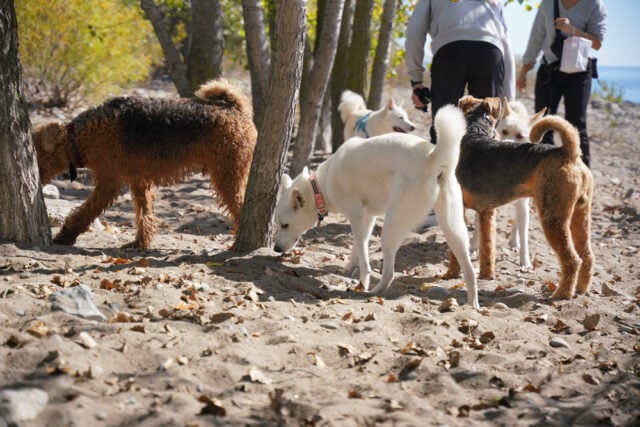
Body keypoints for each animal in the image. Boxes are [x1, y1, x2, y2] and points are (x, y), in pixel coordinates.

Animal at [33, 79, 258, 251]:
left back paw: (237, 245)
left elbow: (85, 211)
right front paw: (140, 243)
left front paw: (65, 236)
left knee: (241, 209)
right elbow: (145, 215)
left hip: (227, 175)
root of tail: (236, 109)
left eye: (37, 152)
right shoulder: (139, 182)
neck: (79, 138)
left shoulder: (109, 183)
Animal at [272, 105, 478, 310]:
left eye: (285, 225)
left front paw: (362, 282)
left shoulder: (356, 216)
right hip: (453, 228)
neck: (319, 187)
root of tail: (432, 158)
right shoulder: (367, 218)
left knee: (389, 274)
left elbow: (363, 254)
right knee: (470, 270)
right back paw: (472, 306)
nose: (275, 248)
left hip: (391, 228)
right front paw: (348, 269)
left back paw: (373, 292)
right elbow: (357, 246)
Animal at [470, 98, 544, 270]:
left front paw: (525, 260)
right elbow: (478, 227)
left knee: (518, 222)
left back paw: (514, 242)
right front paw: (474, 247)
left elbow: (524, 235)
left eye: (520, 136)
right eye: (503, 132)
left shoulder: (522, 204)